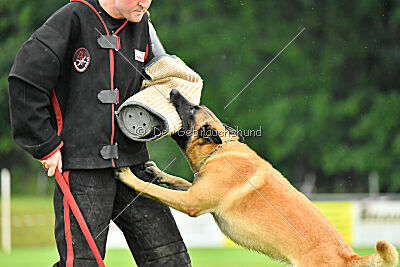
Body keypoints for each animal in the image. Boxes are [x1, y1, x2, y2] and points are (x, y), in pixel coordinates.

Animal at [115, 89, 396, 266]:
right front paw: (156, 172)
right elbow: (178, 181)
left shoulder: (192, 202)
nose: (173, 90)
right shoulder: (197, 188)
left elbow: (156, 190)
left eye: (192, 109)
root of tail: (350, 258)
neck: (219, 150)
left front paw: (129, 176)